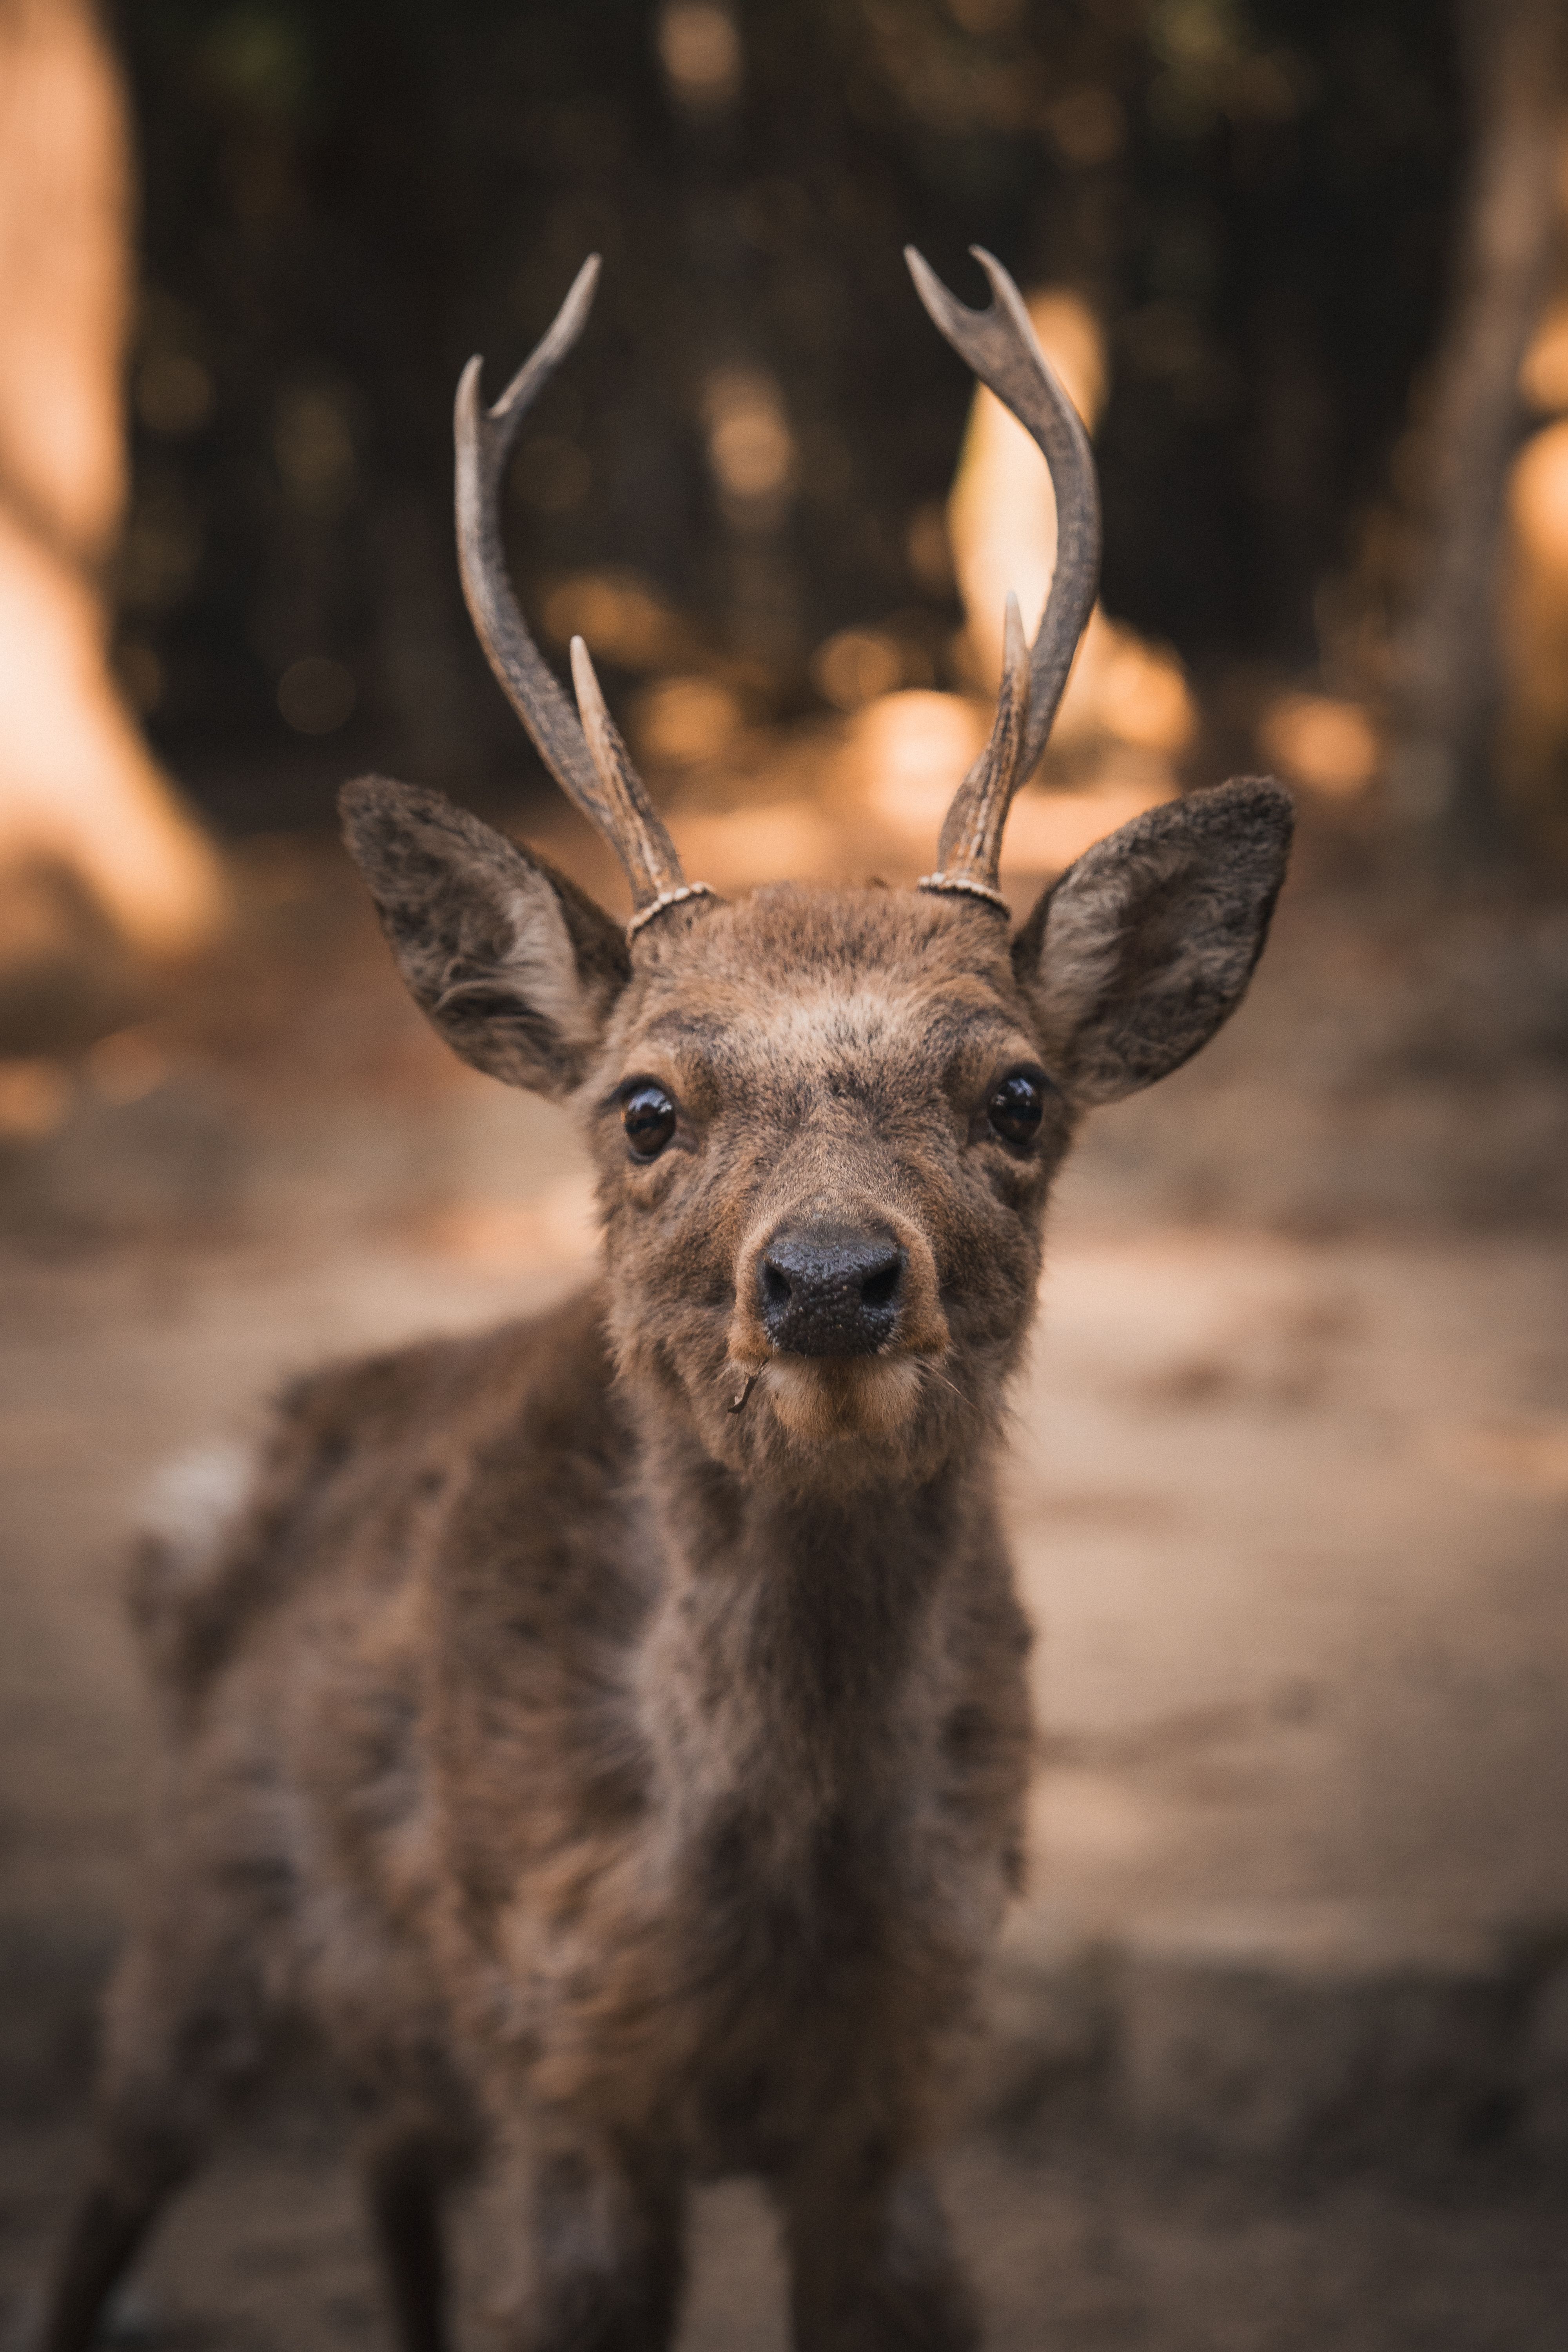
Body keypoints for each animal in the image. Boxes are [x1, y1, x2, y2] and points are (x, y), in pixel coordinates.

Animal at [39, 247, 1290, 2352]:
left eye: (1015, 1093)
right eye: (644, 1105)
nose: (829, 1278)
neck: (764, 1912)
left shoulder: (909, 2073)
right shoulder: (567, 2065)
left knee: (387, 2176)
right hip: (202, 1908)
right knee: (101, 2201)